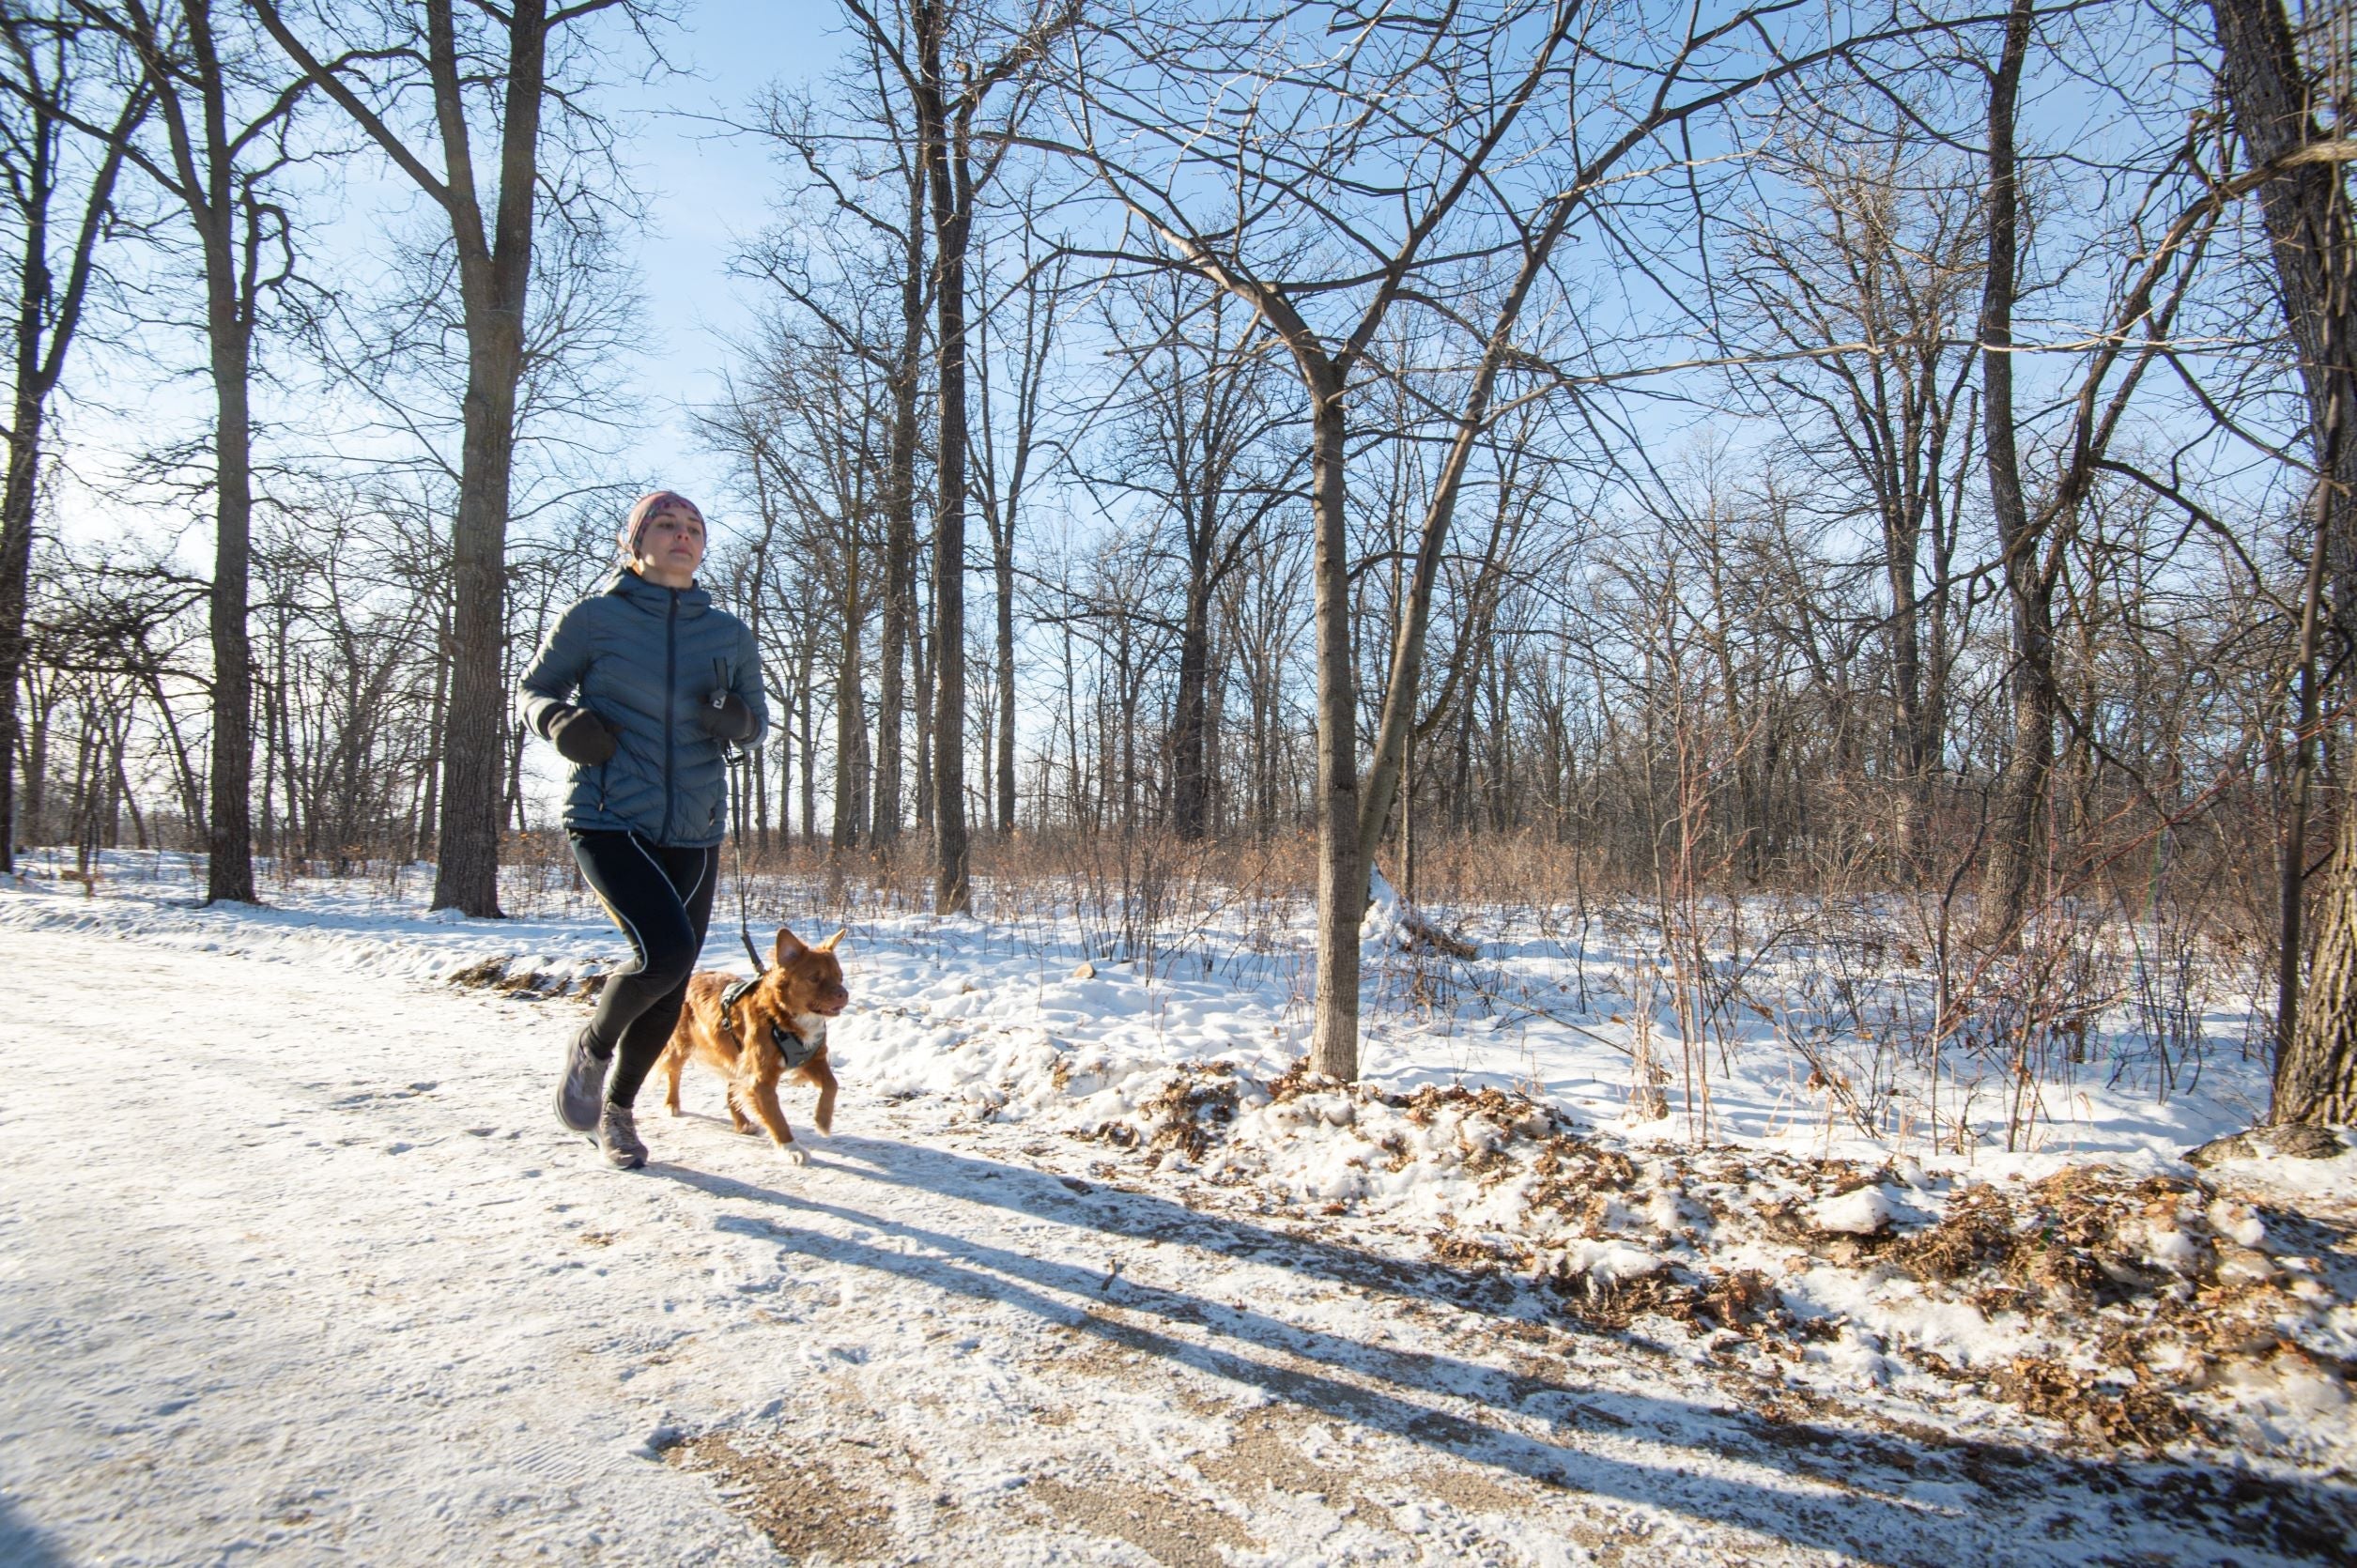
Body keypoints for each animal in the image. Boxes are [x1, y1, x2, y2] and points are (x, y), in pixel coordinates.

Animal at [659, 919, 853, 1160]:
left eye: (840, 976)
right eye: (814, 978)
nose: (844, 994)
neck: (783, 1018)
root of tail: (693, 976)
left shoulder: (813, 1059)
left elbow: (832, 1085)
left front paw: (822, 1121)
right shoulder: (761, 1079)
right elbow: (776, 1117)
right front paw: (791, 1148)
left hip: (736, 1059)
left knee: (731, 1091)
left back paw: (742, 1122)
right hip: (683, 1046)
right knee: (674, 1072)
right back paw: (672, 1103)